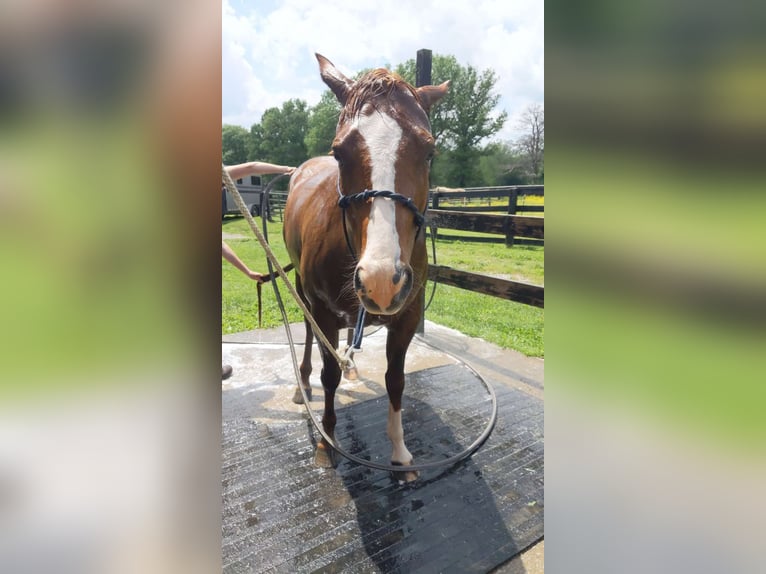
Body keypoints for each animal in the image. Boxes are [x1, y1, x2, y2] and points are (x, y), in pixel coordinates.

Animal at [284, 55, 450, 476]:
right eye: (339, 152)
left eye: (429, 152)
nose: (381, 281)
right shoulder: (324, 311)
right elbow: (327, 375)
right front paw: (326, 443)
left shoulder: (407, 314)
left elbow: (396, 380)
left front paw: (401, 452)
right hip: (306, 293)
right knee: (309, 339)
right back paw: (302, 383)